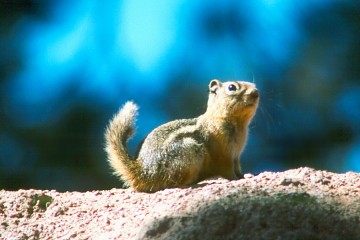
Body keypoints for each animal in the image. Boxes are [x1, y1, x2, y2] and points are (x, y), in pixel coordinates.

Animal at [104, 79, 258, 192]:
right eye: (232, 87)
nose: (256, 92)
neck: (237, 123)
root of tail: (144, 172)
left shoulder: (236, 155)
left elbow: (237, 168)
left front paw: (243, 176)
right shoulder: (222, 153)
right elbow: (228, 170)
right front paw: (235, 179)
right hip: (189, 151)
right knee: (172, 184)